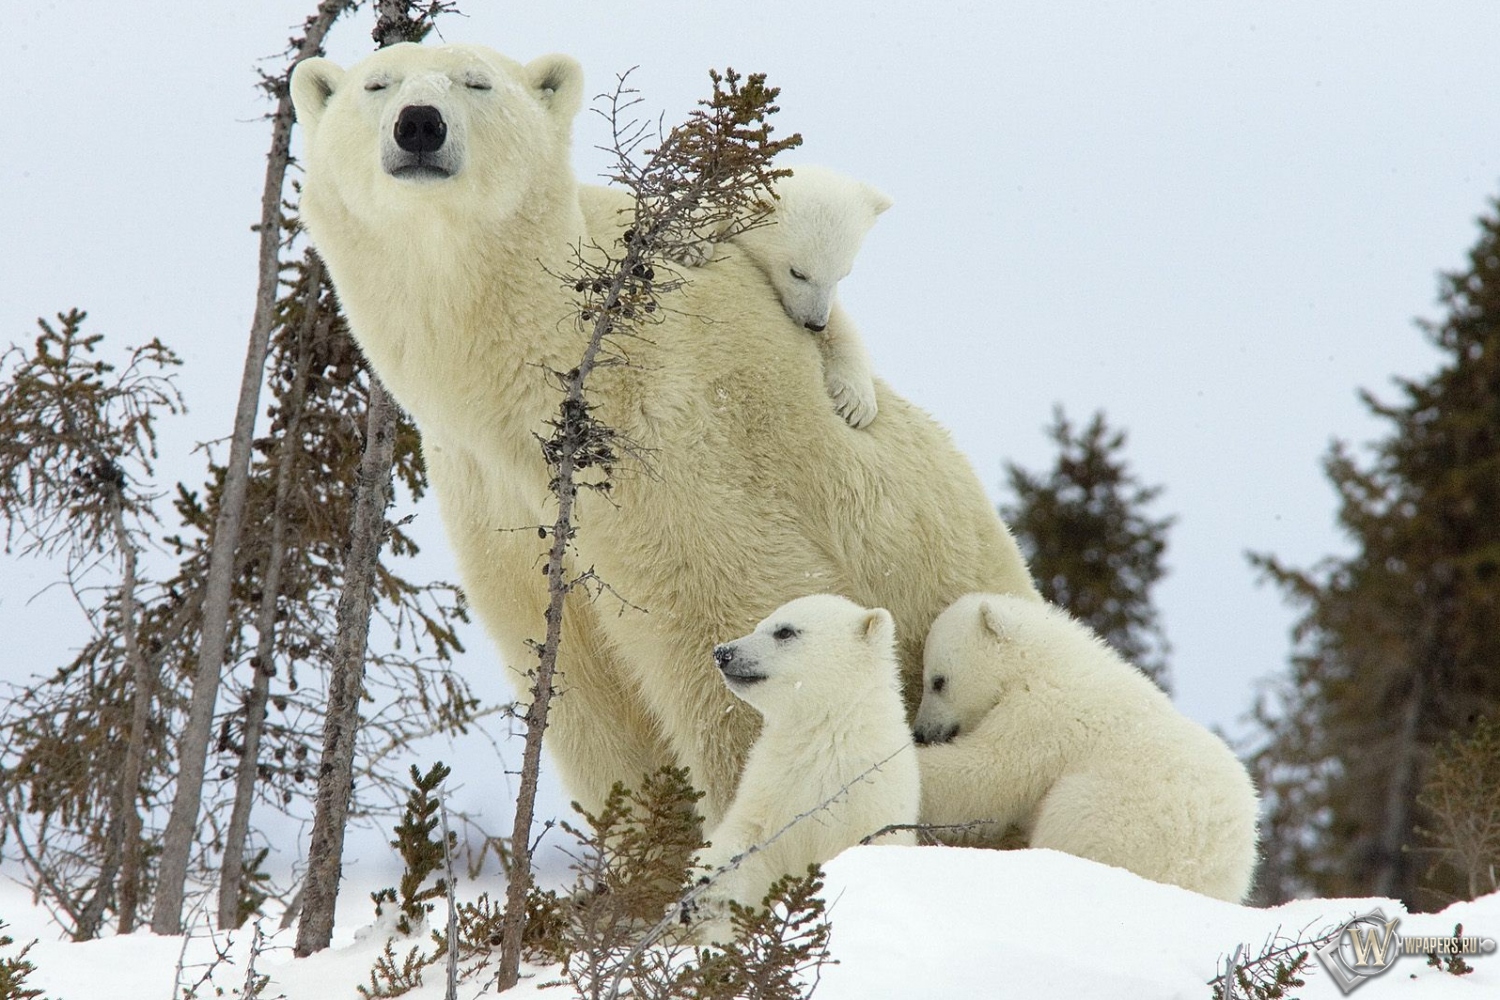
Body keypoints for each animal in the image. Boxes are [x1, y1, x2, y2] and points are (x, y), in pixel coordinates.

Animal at [292, 43, 1044, 827]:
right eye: (376, 84)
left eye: (477, 82)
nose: (419, 124)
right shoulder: (495, 499)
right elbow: (586, 699)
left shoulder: (676, 445)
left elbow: (733, 635)